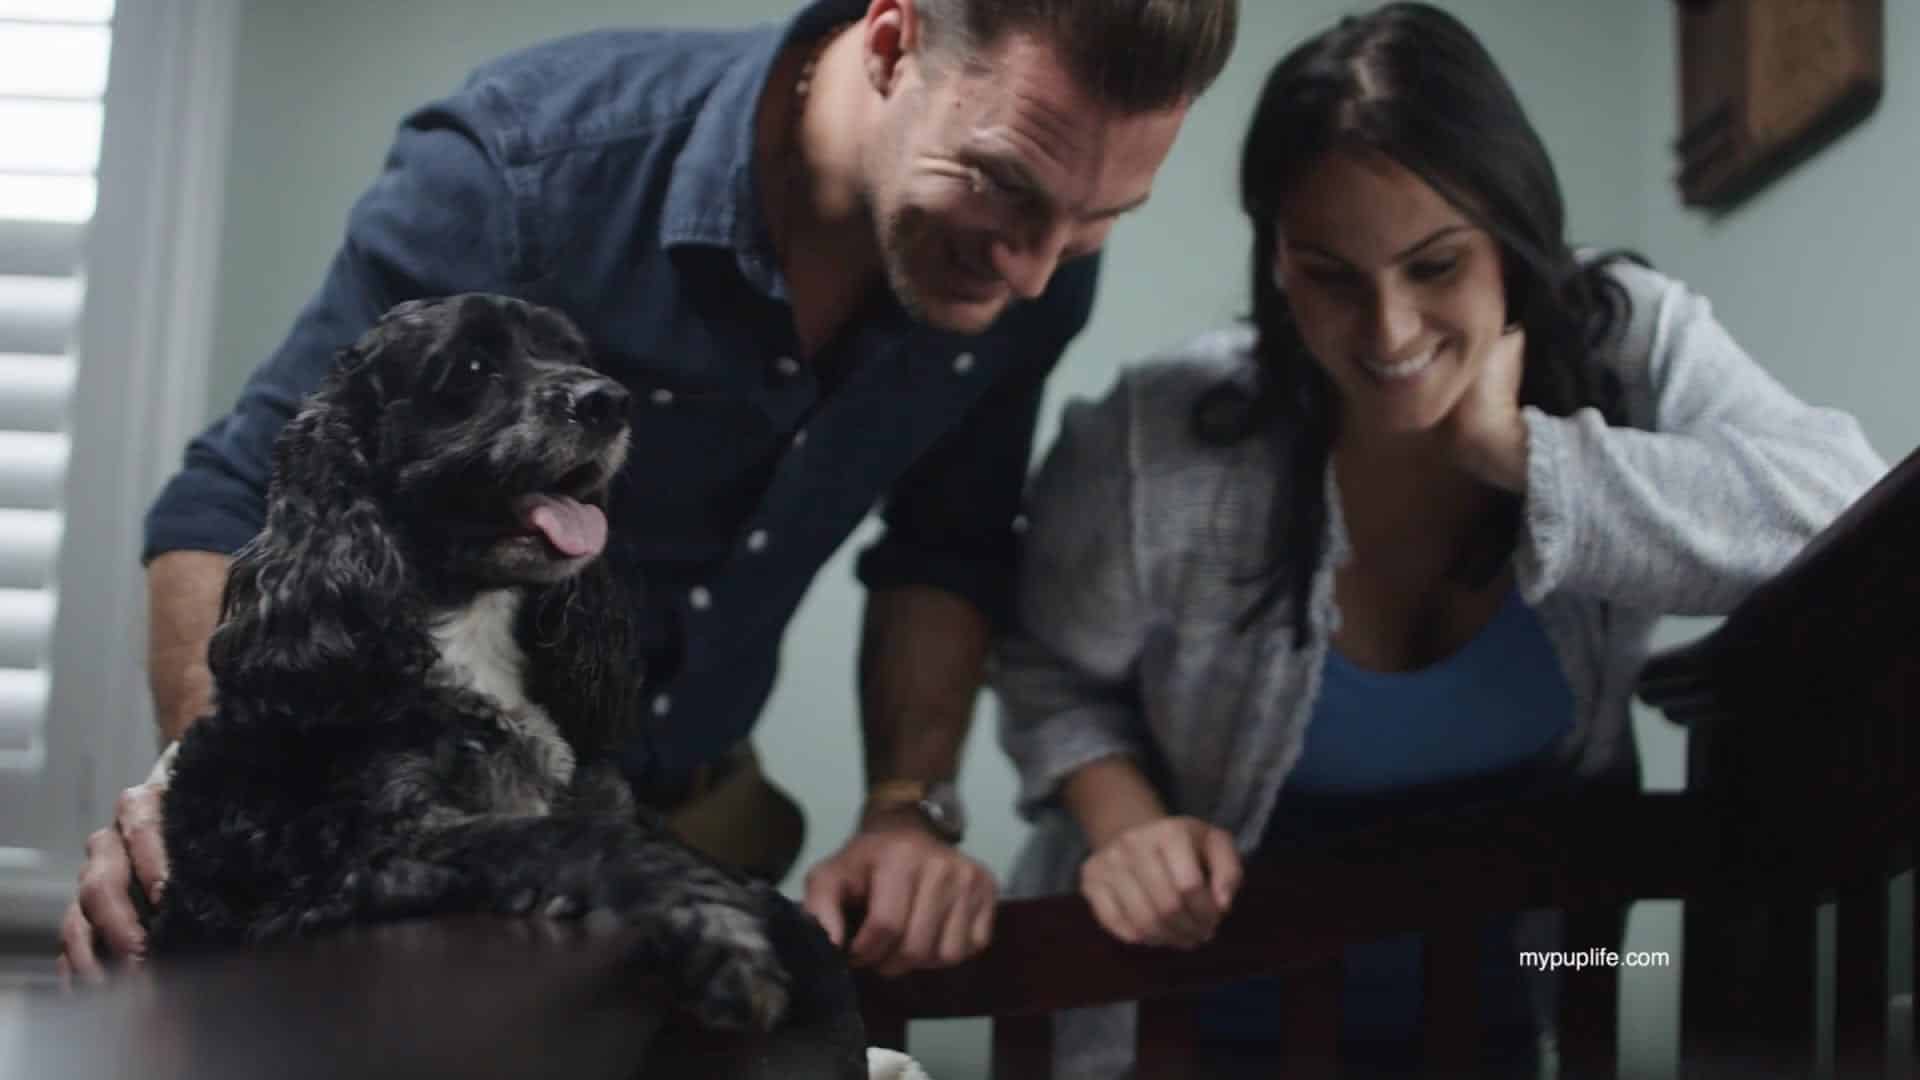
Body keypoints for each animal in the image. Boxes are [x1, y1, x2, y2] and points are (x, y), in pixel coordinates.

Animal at [145, 290, 794, 1030]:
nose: (609, 401)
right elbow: (571, 840)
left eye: (574, 354)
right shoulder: (365, 862)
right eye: (473, 366)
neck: (470, 633)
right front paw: (724, 937)